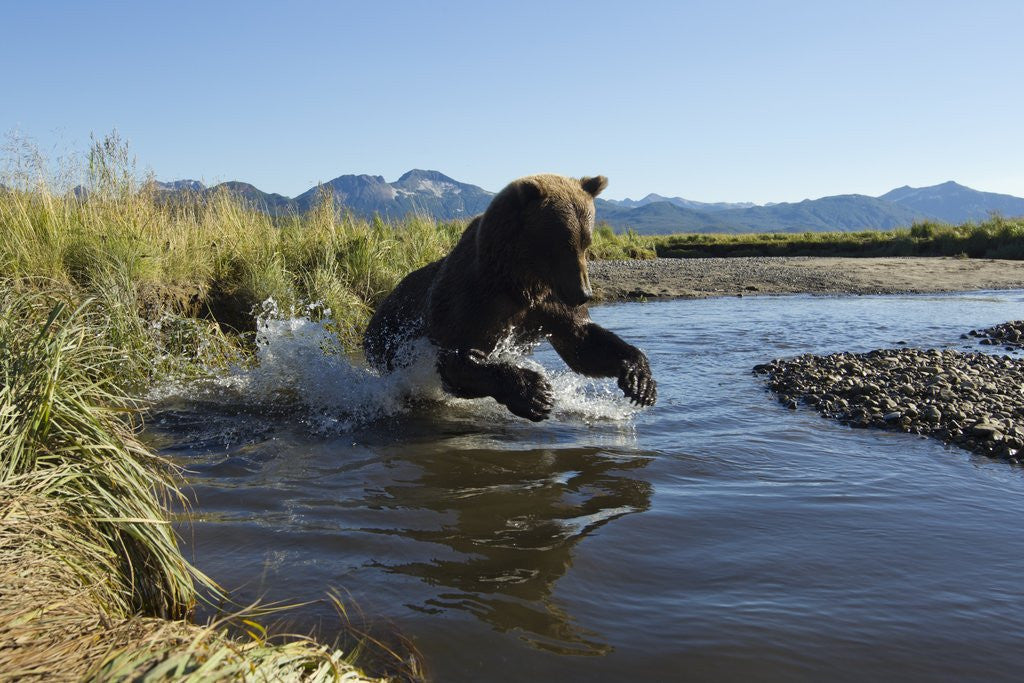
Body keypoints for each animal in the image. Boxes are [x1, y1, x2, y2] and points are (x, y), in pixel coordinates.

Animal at [363, 173, 656, 421]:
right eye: (563, 243)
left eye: (586, 242)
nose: (583, 293)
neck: (520, 280)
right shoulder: (474, 299)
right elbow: (459, 359)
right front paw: (536, 393)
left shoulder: (548, 303)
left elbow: (581, 342)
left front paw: (640, 382)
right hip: (387, 341)